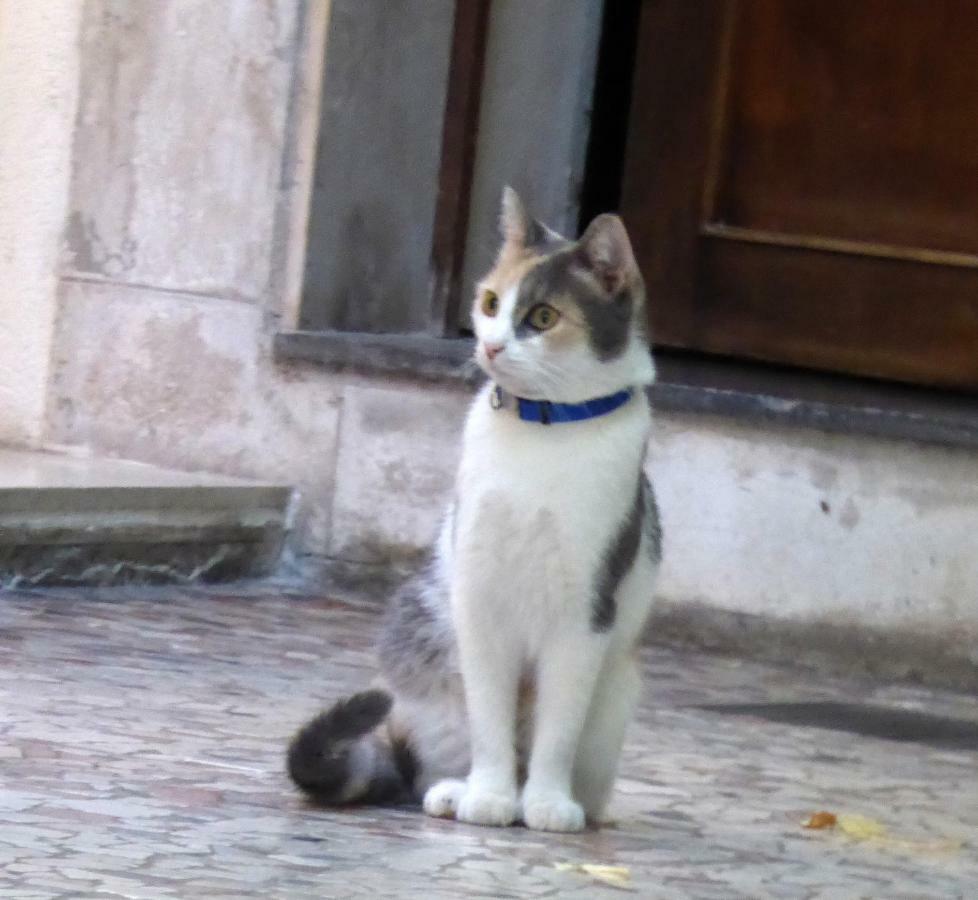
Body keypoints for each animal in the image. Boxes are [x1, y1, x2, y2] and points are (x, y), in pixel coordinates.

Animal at [286, 186, 660, 832]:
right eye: (489, 303)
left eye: (542, 318)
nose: (489, 344)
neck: (543, 433)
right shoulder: (477, 594)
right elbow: (489, 717)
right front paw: (488, 795)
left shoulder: (587, 606)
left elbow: (558, 728)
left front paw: (545, 803)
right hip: (428, 667)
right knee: (438, 758)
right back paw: (454, 791)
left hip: (617, 692)